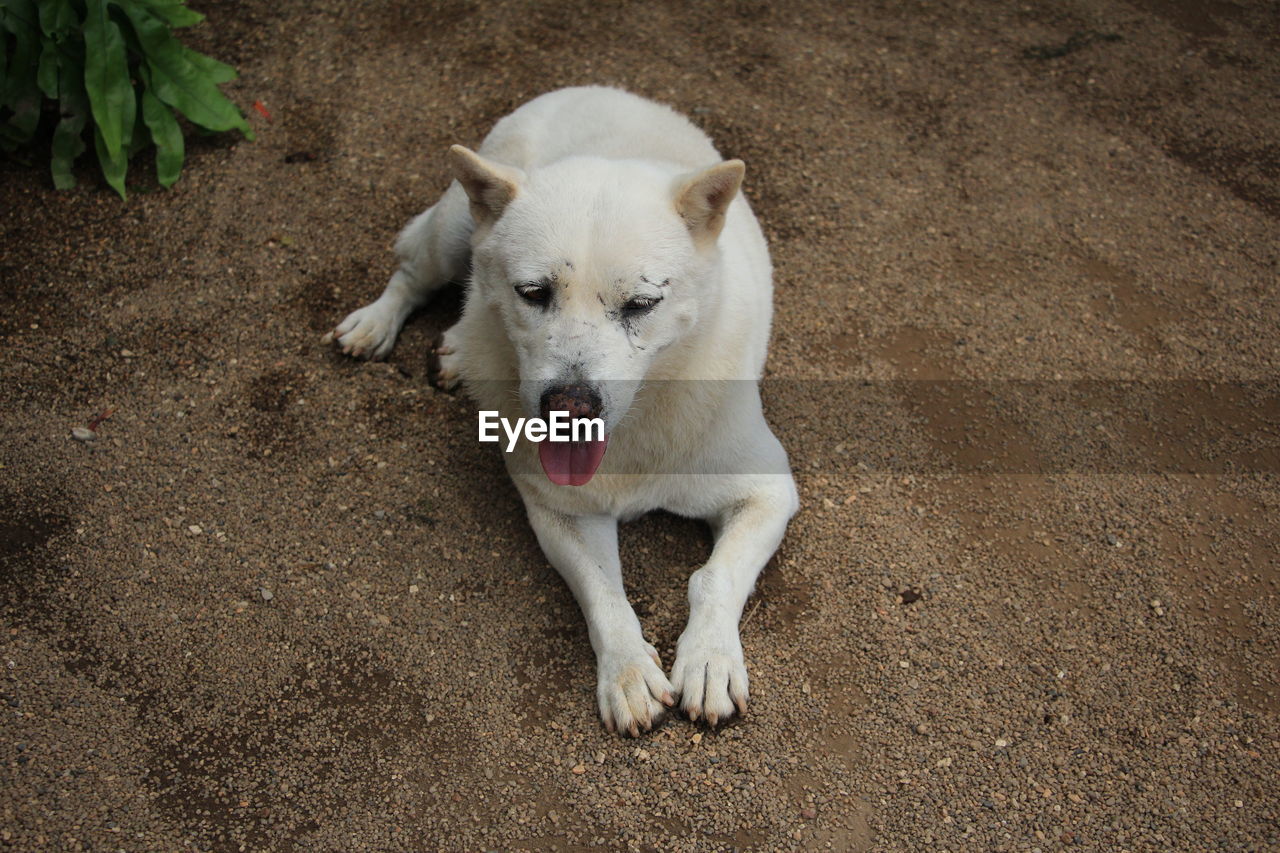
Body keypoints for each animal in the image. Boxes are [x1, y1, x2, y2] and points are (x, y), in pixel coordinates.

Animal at [325, 87, 793, 737]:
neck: (635, 431)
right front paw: (628, 672)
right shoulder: (560, 511)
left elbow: (715, 576)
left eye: (642, 304)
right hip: (452, 230)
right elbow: (605, 594)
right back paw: (378, 324)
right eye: (533, 293)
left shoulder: (767, 490)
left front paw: (709, 661)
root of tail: (600, 88)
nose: (568, 408)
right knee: (414, 276)